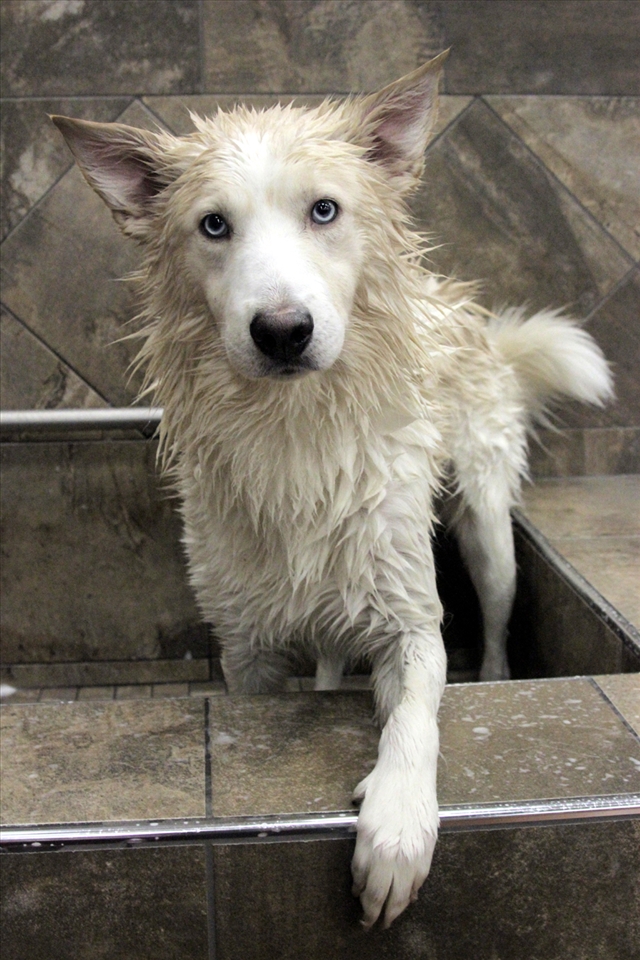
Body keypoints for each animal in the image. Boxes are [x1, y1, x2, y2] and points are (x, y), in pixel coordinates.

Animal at [53, 51, 612, 927]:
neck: (298, 439)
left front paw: (397, 831)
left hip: (485, 527)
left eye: (324, 209)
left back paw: (494, 680)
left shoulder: (413, 622)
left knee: (492, 614)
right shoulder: (245, 652)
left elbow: (415, 722)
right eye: (214, 225)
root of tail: (468, 310)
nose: (283, 331)